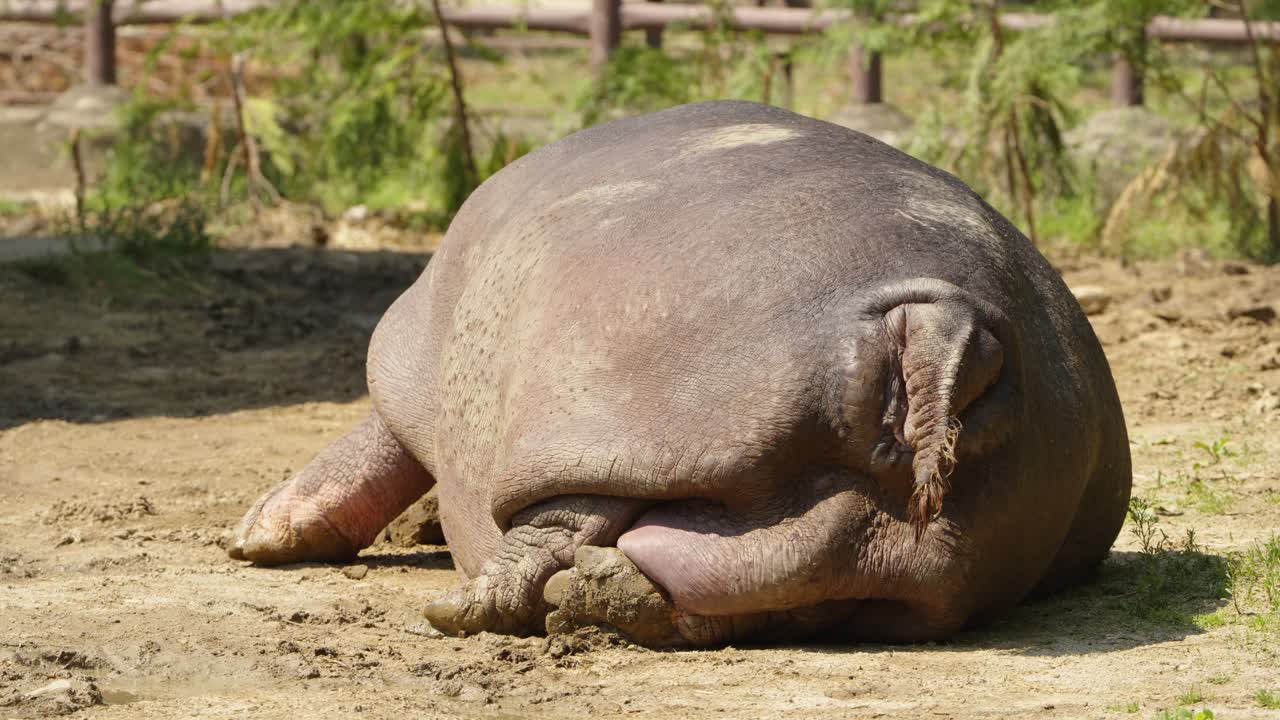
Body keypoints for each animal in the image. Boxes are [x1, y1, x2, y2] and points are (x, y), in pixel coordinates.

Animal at [228, 100, 1131, 646]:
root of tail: (943, 329)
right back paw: (605, 595)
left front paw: (260, 534)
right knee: (799, 564)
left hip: (626, 415)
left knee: (561, 523)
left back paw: (460, 604)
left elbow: (385, 441)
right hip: (926, 551)